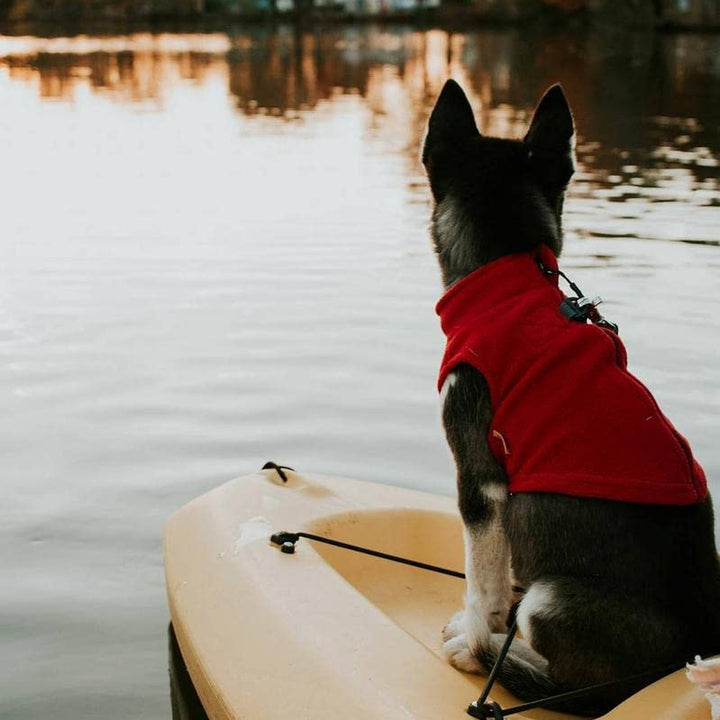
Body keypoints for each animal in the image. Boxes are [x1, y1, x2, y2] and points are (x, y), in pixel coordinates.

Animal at [422, 79, 720, 716]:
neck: (510, 281)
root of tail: (682, 659)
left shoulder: (481, 479)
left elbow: (481, 577)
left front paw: (477, 626)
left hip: (553, 598)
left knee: (575, 688)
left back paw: (491, 655)